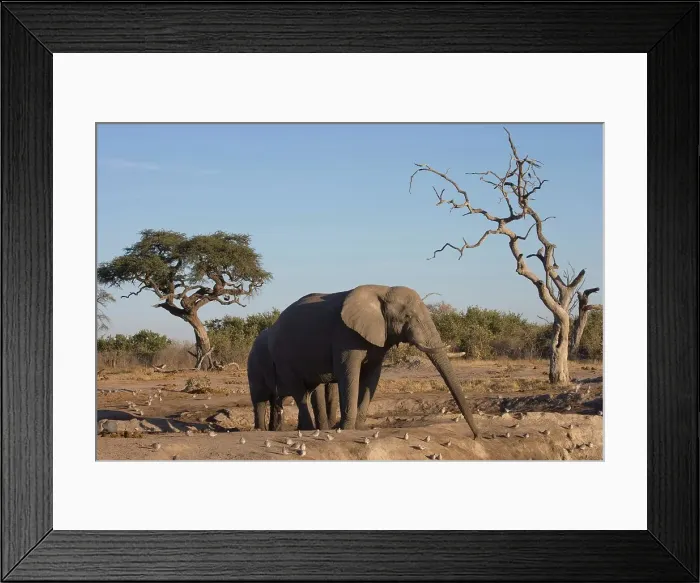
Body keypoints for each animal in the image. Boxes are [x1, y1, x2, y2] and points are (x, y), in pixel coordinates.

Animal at [266, 285, 480, 436]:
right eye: (407, 316)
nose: (477, 436)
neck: (382, 291)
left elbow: (372, 376)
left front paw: (358, 427)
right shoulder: (345, 335)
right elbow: (349, 374)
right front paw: (347, 428)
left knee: (312, 388)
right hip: (282, 354)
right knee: (298, 391)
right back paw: (311, 429)